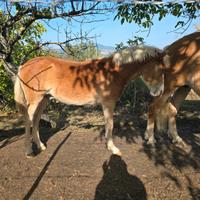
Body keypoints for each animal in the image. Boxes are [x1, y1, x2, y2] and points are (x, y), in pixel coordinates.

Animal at [14, 45, 168, 156]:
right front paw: (113, 148)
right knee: (28, 120)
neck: (112, 72)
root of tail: (24, 66)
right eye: (161, 70)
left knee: (36, 120)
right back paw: (29, 151)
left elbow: (108, 124)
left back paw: (40, 146)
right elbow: (110, 125)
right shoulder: (108, 103)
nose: (159, 92)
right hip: (35, 101)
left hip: (43, 100)